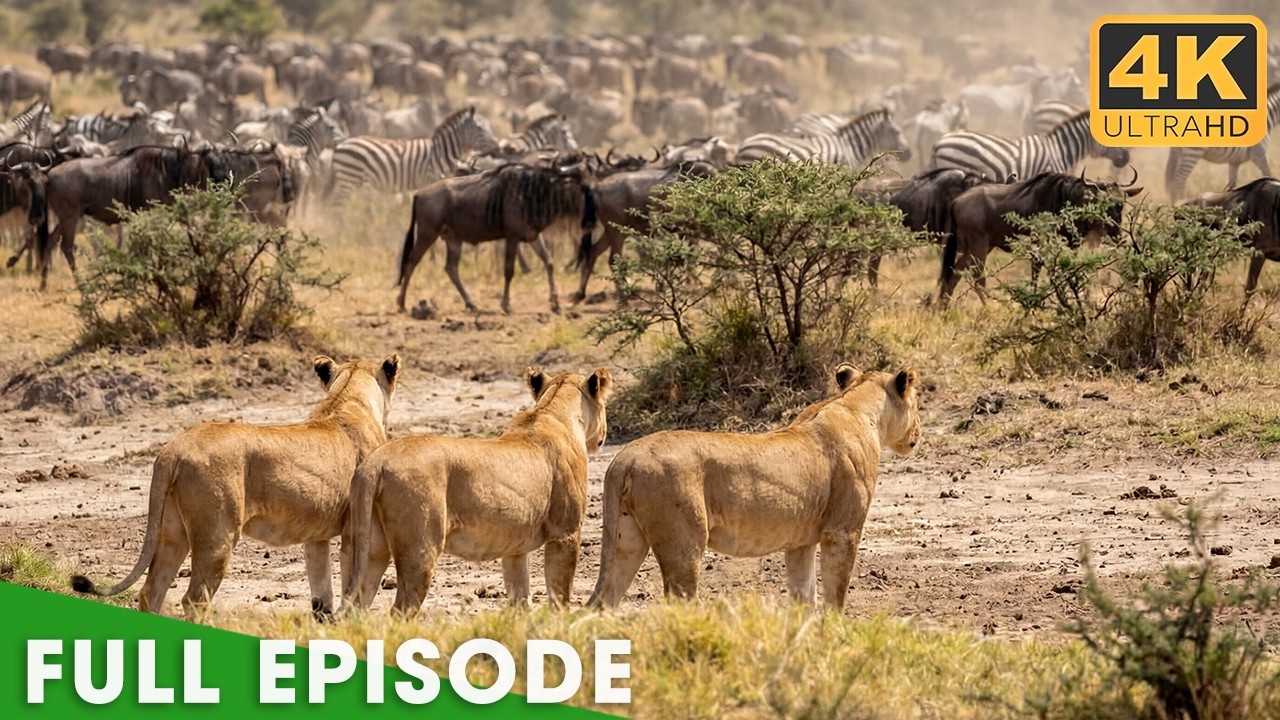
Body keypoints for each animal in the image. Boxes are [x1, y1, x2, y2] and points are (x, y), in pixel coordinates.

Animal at [71, 354, 401, 618]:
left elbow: (322, 595)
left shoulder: (315, 536)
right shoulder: (355, 529)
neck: (347, 398)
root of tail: (172, 450)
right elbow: (354, 584)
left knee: (151, 592)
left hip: (172, 534)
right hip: (218, 534)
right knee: (194, 599)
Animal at [342, 366, 612, 614]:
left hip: (372, 548)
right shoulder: (565, 533)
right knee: (401, 609)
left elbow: (520, 598)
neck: (552, 412)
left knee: (357, 604)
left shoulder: (515, 549)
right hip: (420, 549)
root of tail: (375, 462)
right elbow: (559, 594)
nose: (603, 436)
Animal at [587, 364, 921, 611]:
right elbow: (835, 595)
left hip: (625, 541)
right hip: (683, 545)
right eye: (918, 404)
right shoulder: (841, 532)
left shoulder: (800, 542)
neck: (856, 408)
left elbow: (804, 596)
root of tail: (625, 458)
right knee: (678, 603)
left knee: (600, 602)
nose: (919, 431)